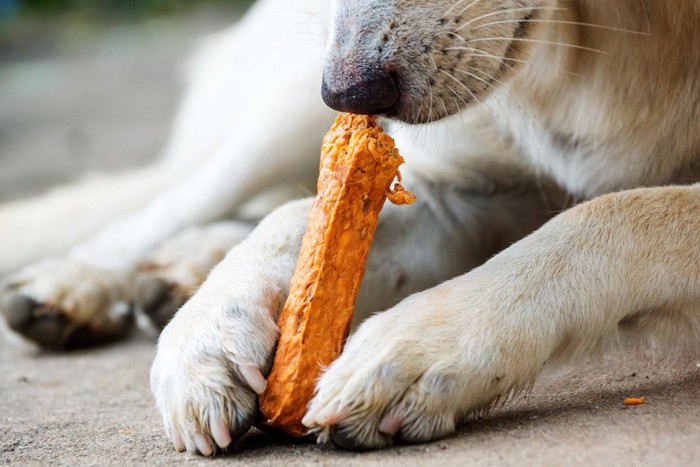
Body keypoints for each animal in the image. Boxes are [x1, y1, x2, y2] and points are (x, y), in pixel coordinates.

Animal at [1, 0, 700, 458]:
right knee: (177, 193)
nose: (347, 94)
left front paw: (421, 350)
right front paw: (210, 328)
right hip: (287, 93)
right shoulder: (468, 187)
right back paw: (82, 283)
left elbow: (613, 213)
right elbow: (298, 219)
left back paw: (180, 267)